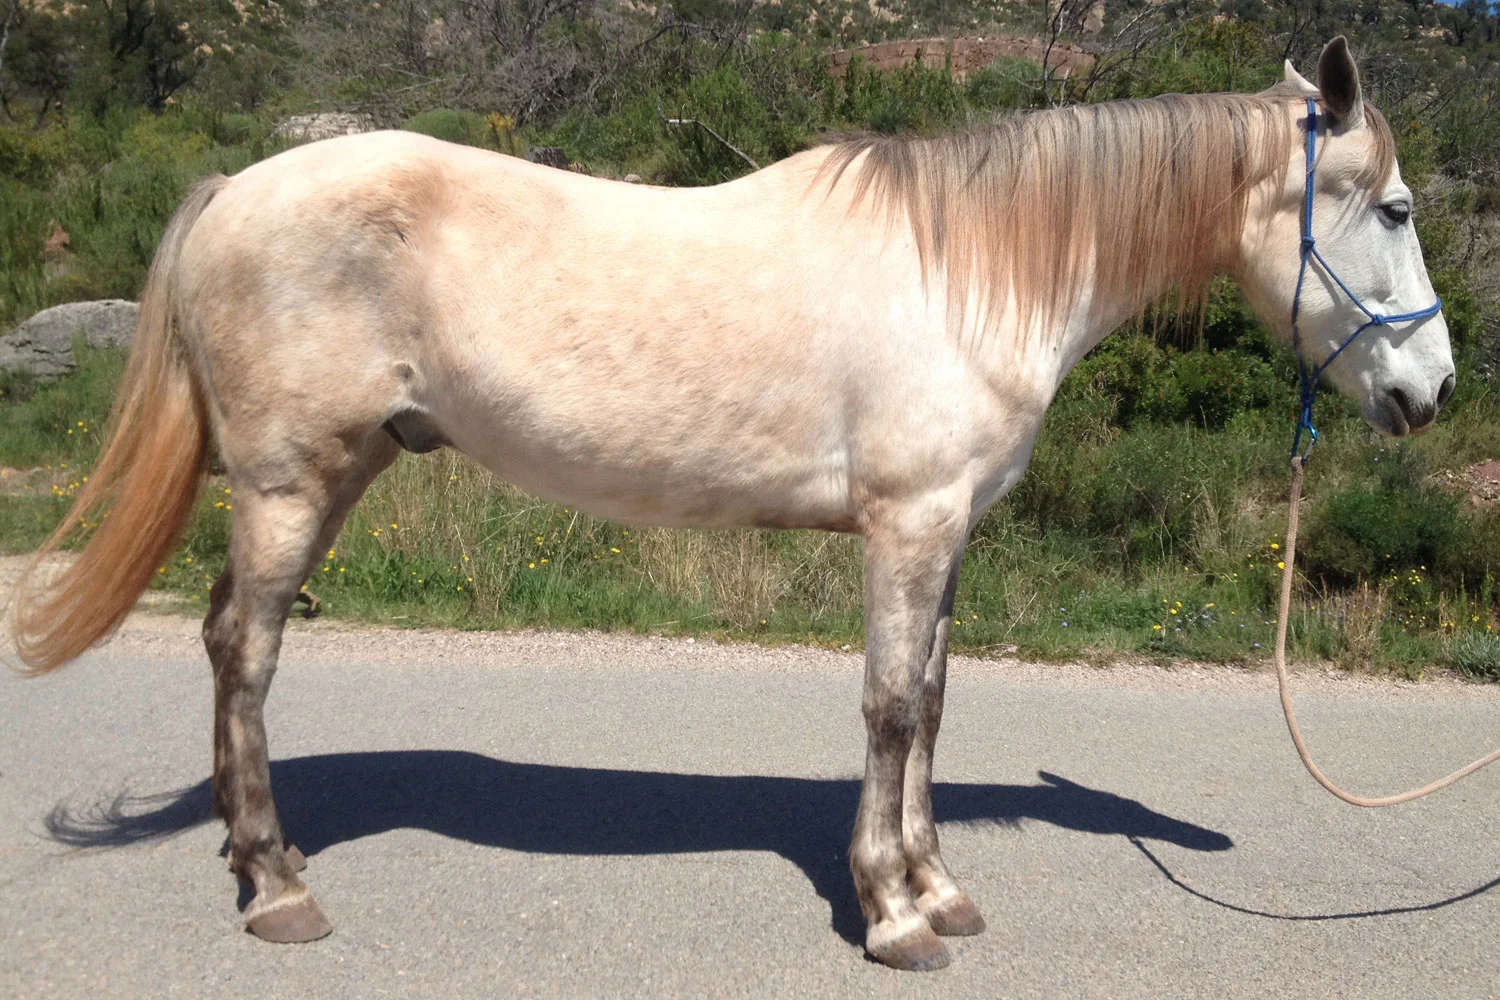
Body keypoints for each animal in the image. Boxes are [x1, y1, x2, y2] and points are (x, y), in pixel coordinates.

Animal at [9, 37, 1453, 971]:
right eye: (1389, 207)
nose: (1431, 390)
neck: (973, 269)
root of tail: (231, 191)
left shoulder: (952, 531)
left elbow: (932, 704)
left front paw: (940, 885)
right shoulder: (908, 524)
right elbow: (886, 709)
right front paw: (893, 914)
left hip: (342, 467)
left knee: (226, 641)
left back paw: (253, 863)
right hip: (287, 482)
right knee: (245, 652)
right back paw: (277, 887)